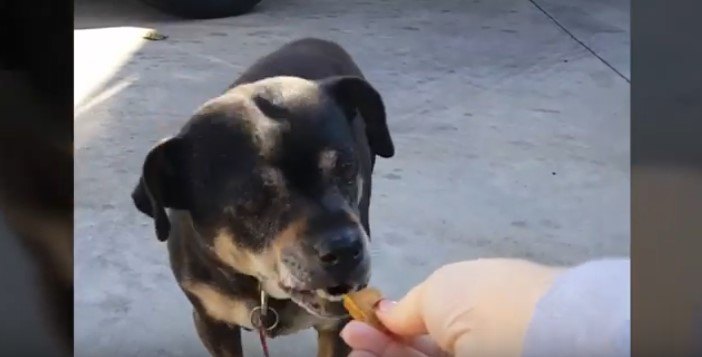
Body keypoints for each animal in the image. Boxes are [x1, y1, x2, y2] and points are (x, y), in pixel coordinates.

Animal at [132, 37, 396, 354]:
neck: (261, 289)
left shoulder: (337, 326)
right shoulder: (211, 321)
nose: (345, 249)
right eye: (252, 199)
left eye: (346, 167)